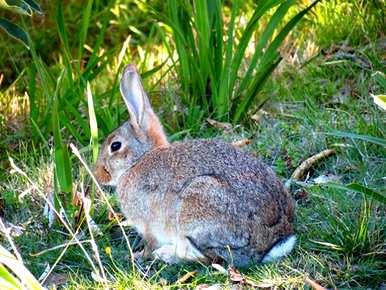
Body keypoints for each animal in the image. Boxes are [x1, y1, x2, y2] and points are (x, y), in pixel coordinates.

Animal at [95, 64, 296, 268]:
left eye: (115, 146)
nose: (98, 175)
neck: (140, 158)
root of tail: (273, 239)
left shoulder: (149, 226)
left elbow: (149, 245)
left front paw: (137, 256)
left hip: (196, 205)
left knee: (210, 257)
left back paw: (166, 255)